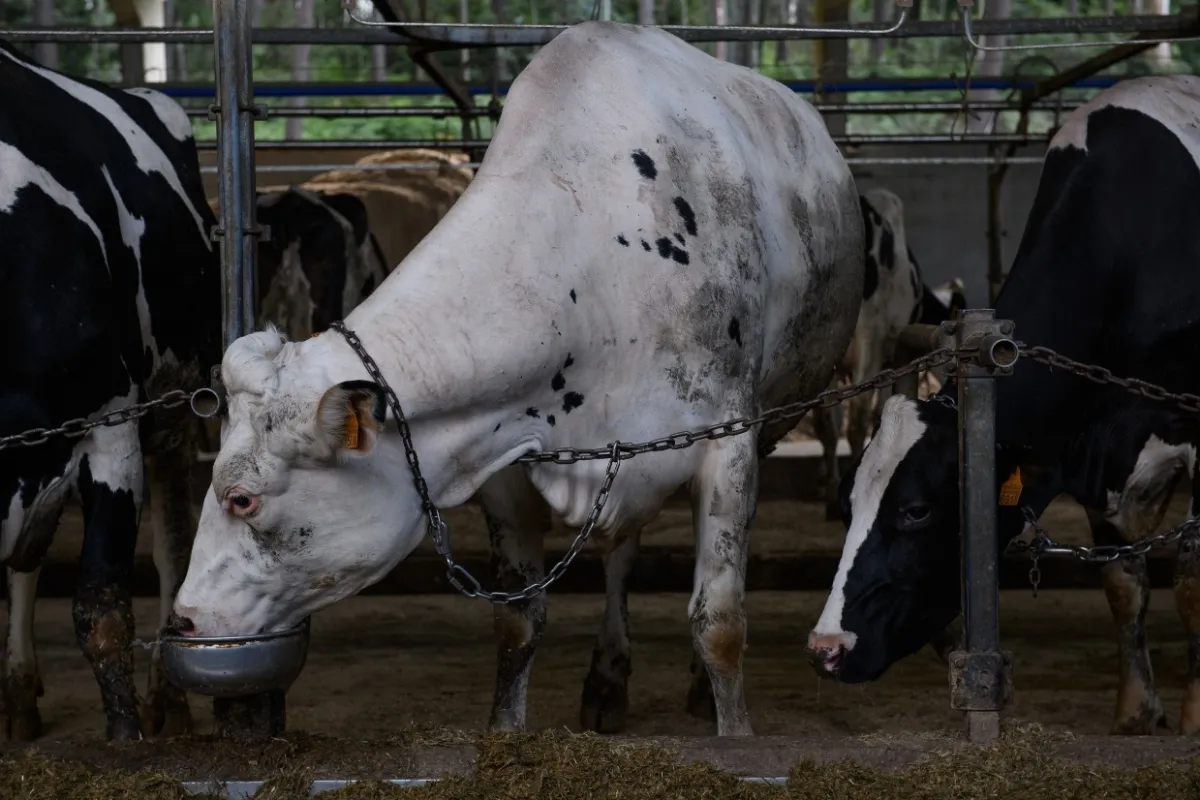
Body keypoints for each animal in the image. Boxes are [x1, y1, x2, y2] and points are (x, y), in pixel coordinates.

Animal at [0, 41, 220, 740]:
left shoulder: (111, 424)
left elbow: (101, 610)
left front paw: (127, 740)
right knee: (26, 564)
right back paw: (18, 694)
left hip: (176, 408)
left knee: (173, 541)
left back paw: (167, 699)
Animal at [170, 20, 865, 737]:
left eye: (241, 498)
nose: (185, 618)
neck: (599, 262)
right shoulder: (501, 457)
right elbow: (517, 622)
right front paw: (505, 729)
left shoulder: (730, 443)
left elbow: (719, 622)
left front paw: (735, 733)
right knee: (621, 550)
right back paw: (607, 678)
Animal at [811, 188, 966, 519]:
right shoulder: (883, 356)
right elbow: (873, 414)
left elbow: (829, 422)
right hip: (869, 335)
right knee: (856, 418)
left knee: (829, 422)